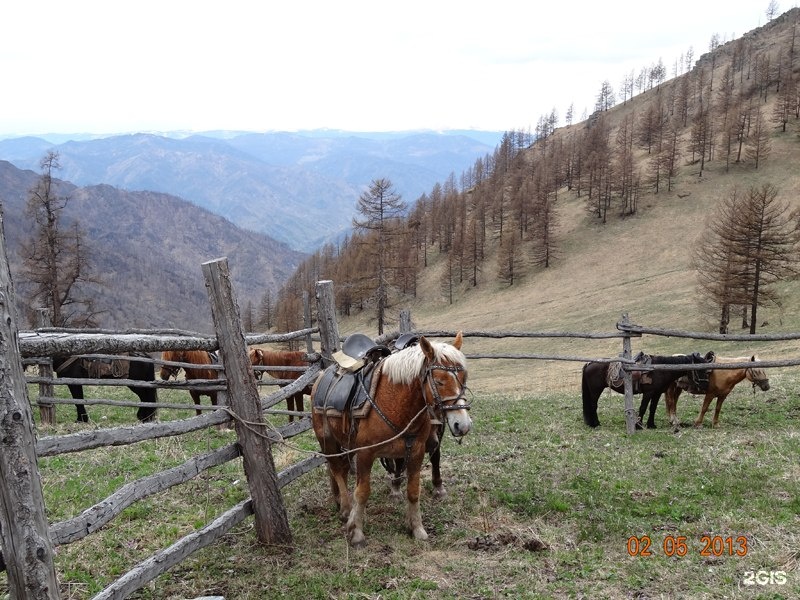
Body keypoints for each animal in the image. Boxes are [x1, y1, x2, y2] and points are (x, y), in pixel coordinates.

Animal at [310, 330, 472, 548]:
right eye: (439, 381)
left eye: (464, 377)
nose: (462, 425)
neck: (394, 402)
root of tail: (320, 376)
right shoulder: (365, 453)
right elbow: (362, 492)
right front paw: (356, 532)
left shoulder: (416, 451)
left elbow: (413, 490)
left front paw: (416, 528)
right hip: (327, 440)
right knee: (336, 469)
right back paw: (345, 508)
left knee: (341, 469)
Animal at [580, 354, 712, 428]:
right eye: (700, 369)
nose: (705, 386)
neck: (659, 369)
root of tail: (589, 364)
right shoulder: (648, 393)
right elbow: (643, 408)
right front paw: (638, 425)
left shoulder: (657, 393)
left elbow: (652, 408)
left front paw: (651, 424)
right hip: (596, 391)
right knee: (593, 405)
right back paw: (595, 423)